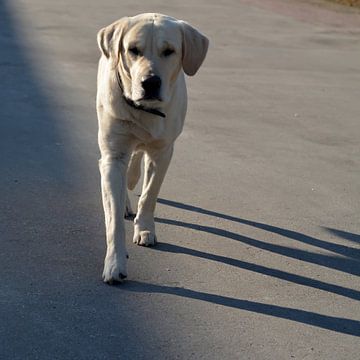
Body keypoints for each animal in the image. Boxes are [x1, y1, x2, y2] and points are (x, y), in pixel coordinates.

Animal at [96, 13, 208, 284]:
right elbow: (113, 219)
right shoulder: (112, 156)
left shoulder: (163, 152)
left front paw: (145, 228)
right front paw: (114, 263)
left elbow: (149, 195)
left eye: (169, 51)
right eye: (133, 50)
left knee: (138, 159)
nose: (150, 82)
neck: (143, 111)